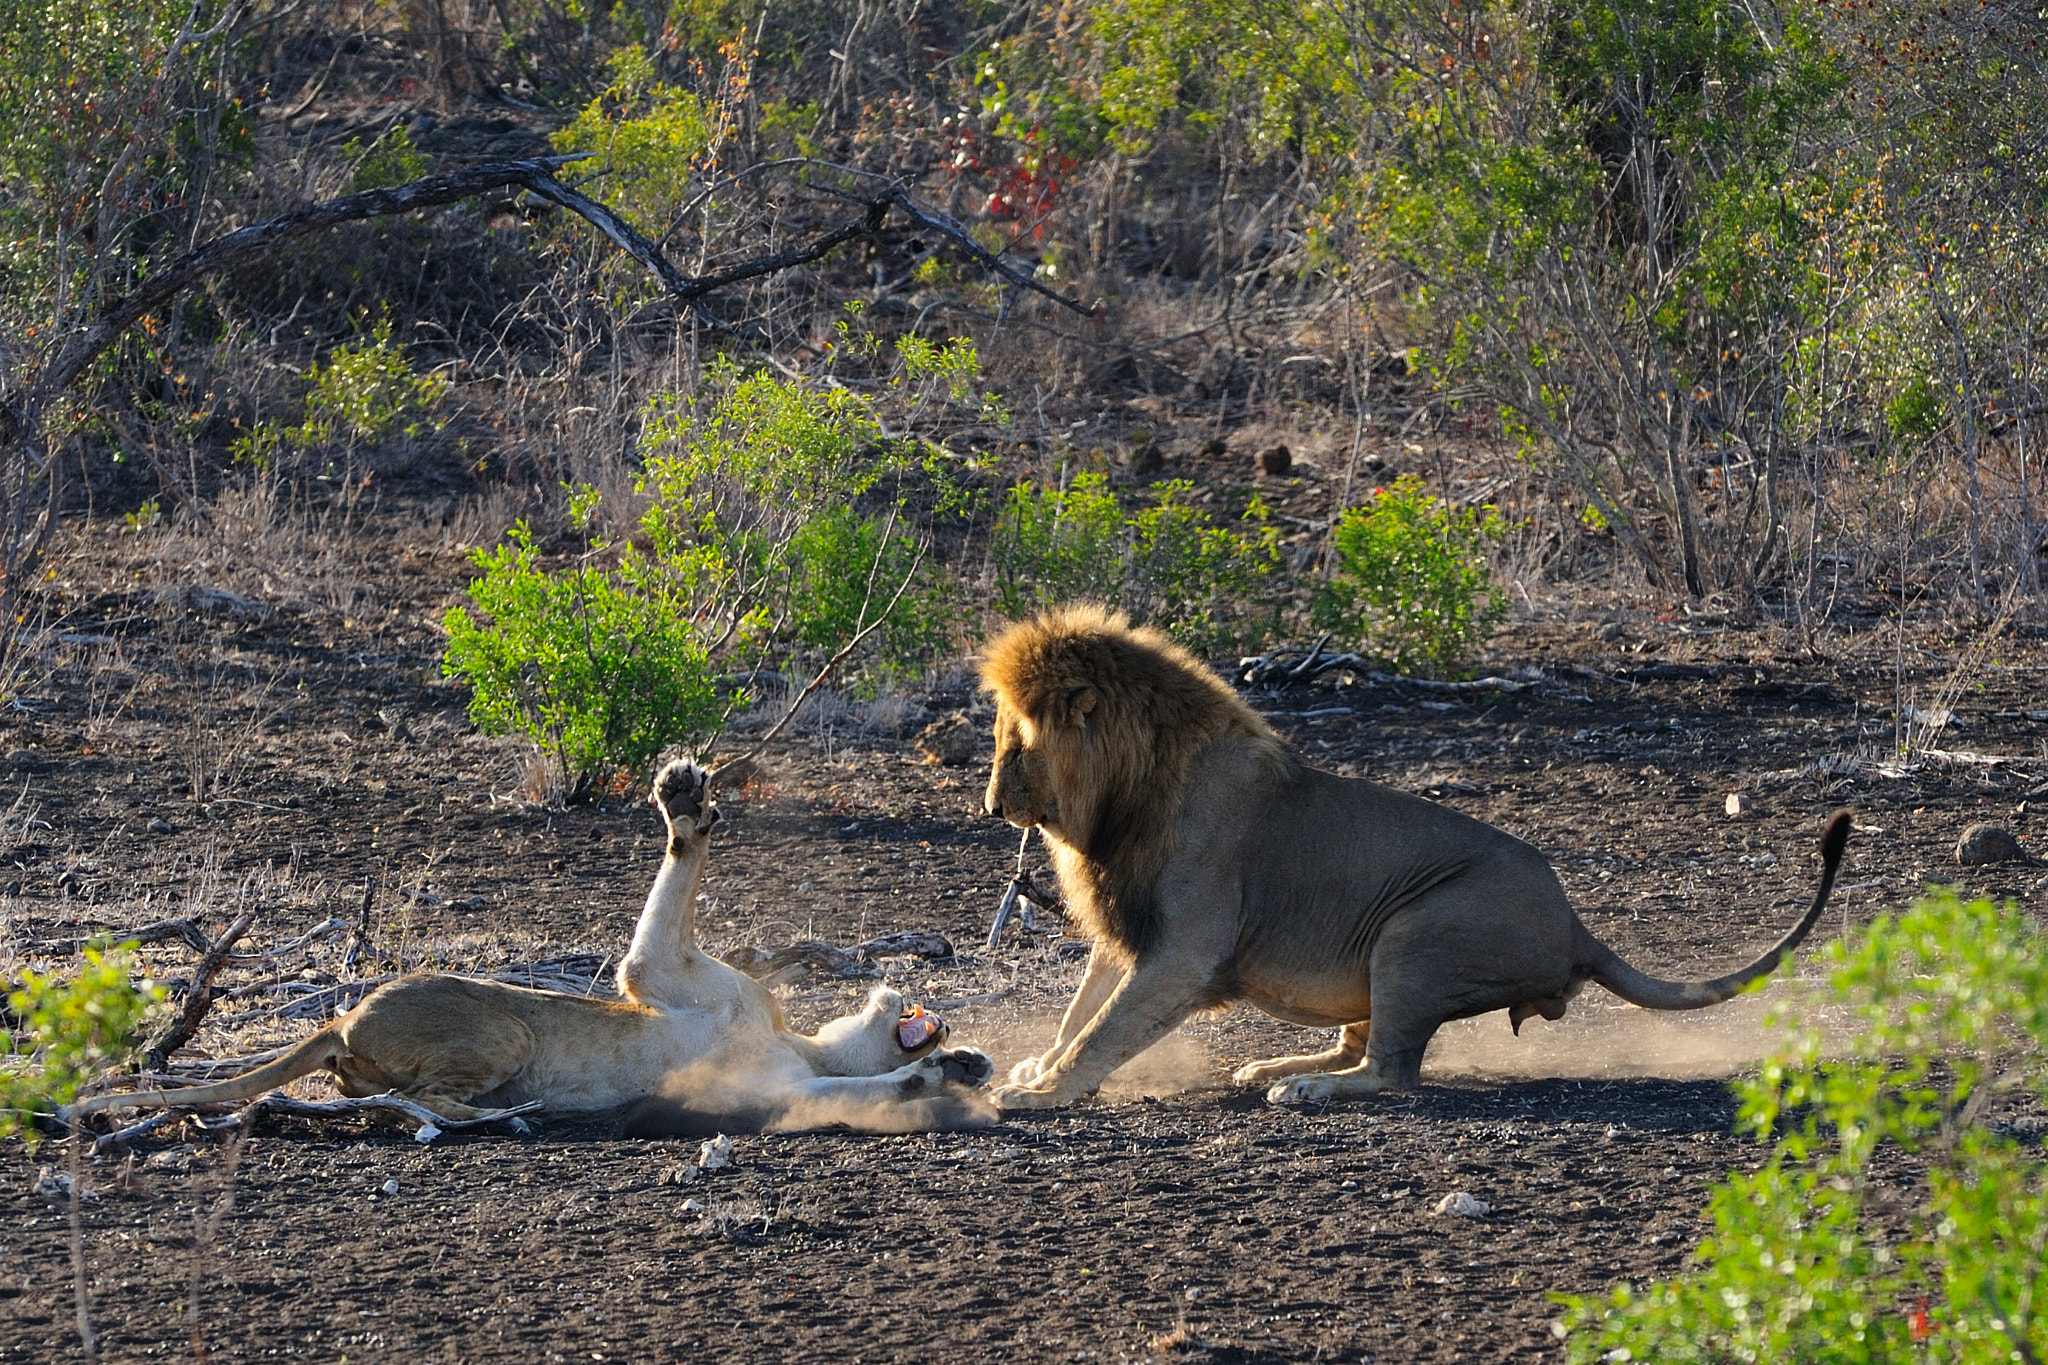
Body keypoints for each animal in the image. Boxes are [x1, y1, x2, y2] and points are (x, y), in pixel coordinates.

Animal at [77, 765, 999, 1137]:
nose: (966, 1044)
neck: (802, 1043)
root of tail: (345, 1014)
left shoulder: (768, 1082)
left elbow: (863, 1090)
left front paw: (936, 1081)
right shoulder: (660, 974)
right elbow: (679, 874)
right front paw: (683, 796)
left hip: (487, 1040)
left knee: (413, 1099)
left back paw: (503, 1115)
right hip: (507, 1028)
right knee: (421, 1099)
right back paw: (501, 1116)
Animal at [978, 609, 1859, 1113]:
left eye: (1014, 745)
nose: (989, 807)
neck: (1120, 798)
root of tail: (1580, 929)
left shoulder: (1185, 948)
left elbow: (1105, 1028)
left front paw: (1047, 1091)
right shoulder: (1129, 930)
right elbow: (1081, 1011)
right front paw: (1039, 1068)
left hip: (1417, 930)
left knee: (1392, 1069)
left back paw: (1304, 1086)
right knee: (1360, 1047)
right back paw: (1275, 1063)